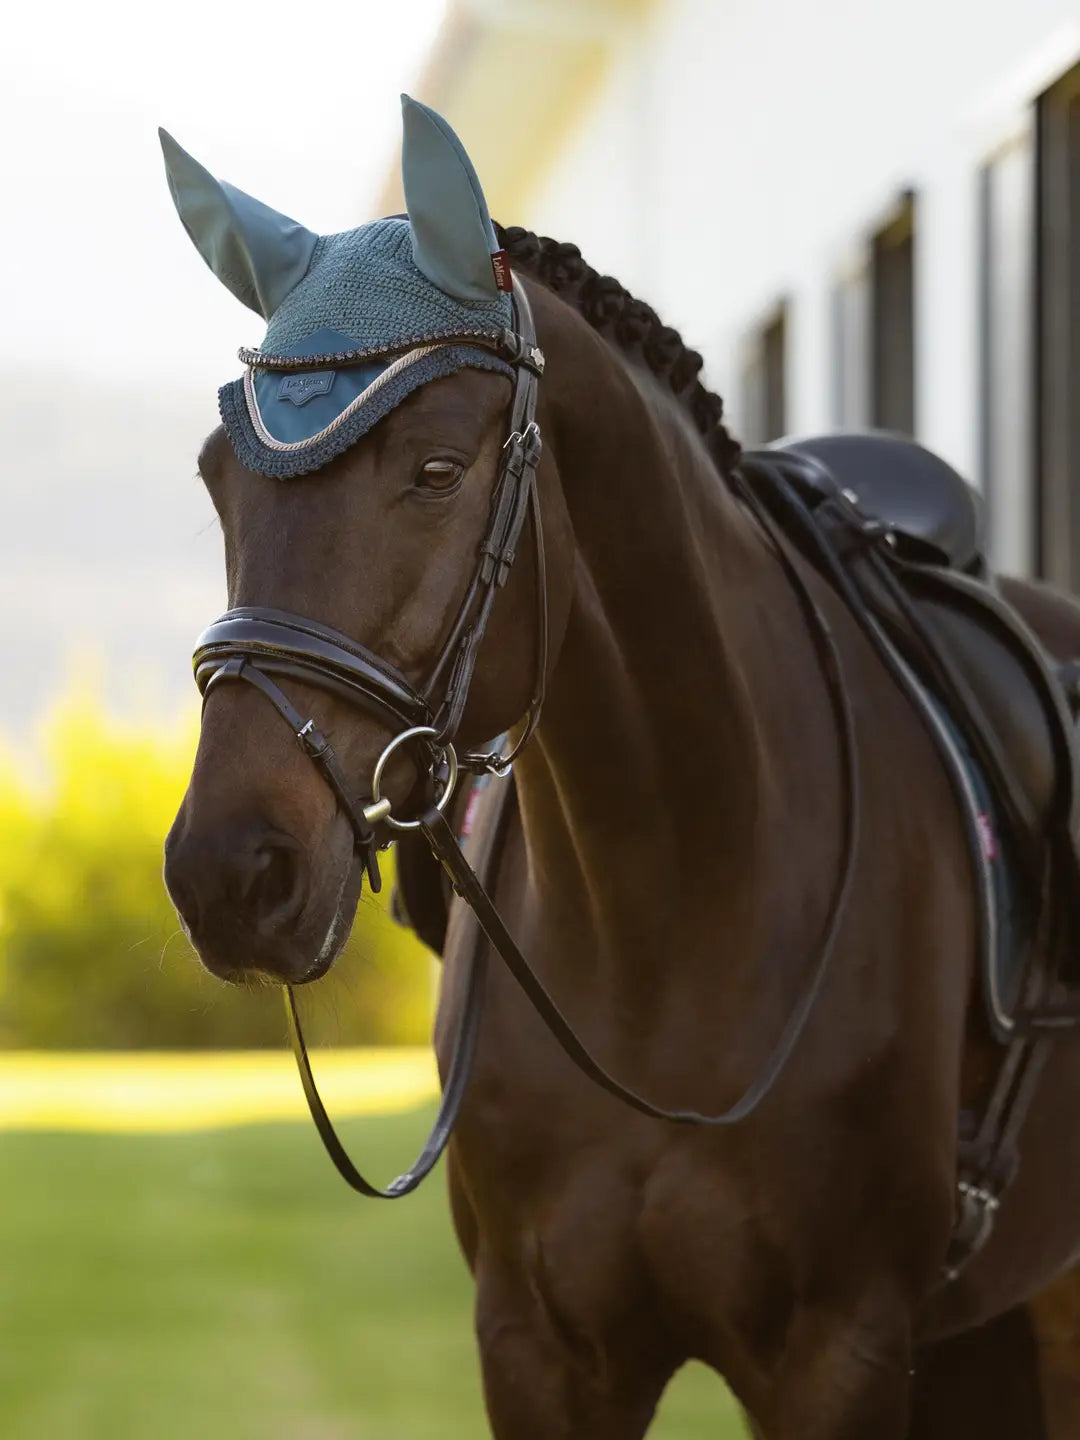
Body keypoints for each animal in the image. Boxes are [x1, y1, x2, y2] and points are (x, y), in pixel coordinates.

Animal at [161, 98, 1080, 1437]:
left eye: (435, 470)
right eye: (218, 477)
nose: (229, 873)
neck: (673, 924)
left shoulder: (842, 1355)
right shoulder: (541, 1351)